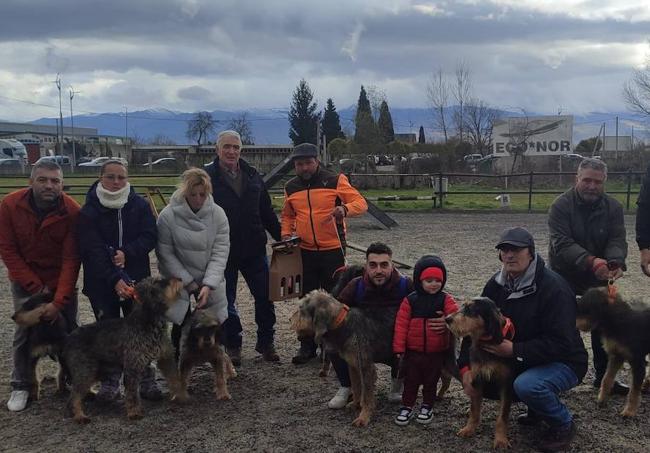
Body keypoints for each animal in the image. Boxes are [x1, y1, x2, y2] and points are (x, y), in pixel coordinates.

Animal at [62, 276, 187, 424]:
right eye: (159, 282)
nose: (180, 278)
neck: (147, 321)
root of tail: (69, 338)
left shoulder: (166, 358)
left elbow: (175, 378)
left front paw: (182, 396)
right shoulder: (132, 367)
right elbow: (132, 393)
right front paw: (134, 412)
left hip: (93, 370)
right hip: (85, 370)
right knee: (73, 397)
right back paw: (79, 416)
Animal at [442, 296, 512, 448]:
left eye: (470, 309)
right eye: (463, 306)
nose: (447, 319)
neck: (485, 344)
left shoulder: (506, 382)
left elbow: (503, 416)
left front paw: (501, 439)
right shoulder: (477, 378)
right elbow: (475, 409)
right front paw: (469, 429)